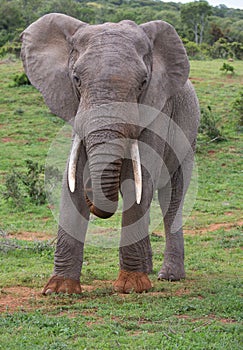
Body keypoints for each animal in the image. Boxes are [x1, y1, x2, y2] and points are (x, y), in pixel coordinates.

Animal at [20, 12, 199, 294]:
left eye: (143, 83)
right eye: (76, 79)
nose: (93, 194)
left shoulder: (157, 111)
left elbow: (139, 184)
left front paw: (132, 287)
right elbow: (70, 187)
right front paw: (59, 289)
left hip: (187, 137)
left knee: (172, 197)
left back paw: (169, 276)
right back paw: (149, 270)